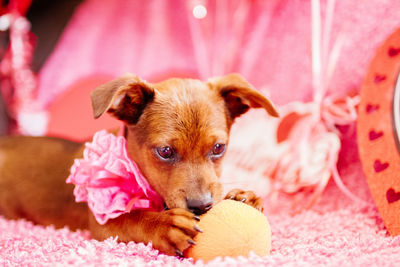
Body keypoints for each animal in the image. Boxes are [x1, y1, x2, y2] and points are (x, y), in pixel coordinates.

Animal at [0, 73, 278, 255]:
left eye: (219, 148)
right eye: (165, 151)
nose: (202, 206)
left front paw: (245, 196)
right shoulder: (103, 224)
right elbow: (132, 218)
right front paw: (164, 225)